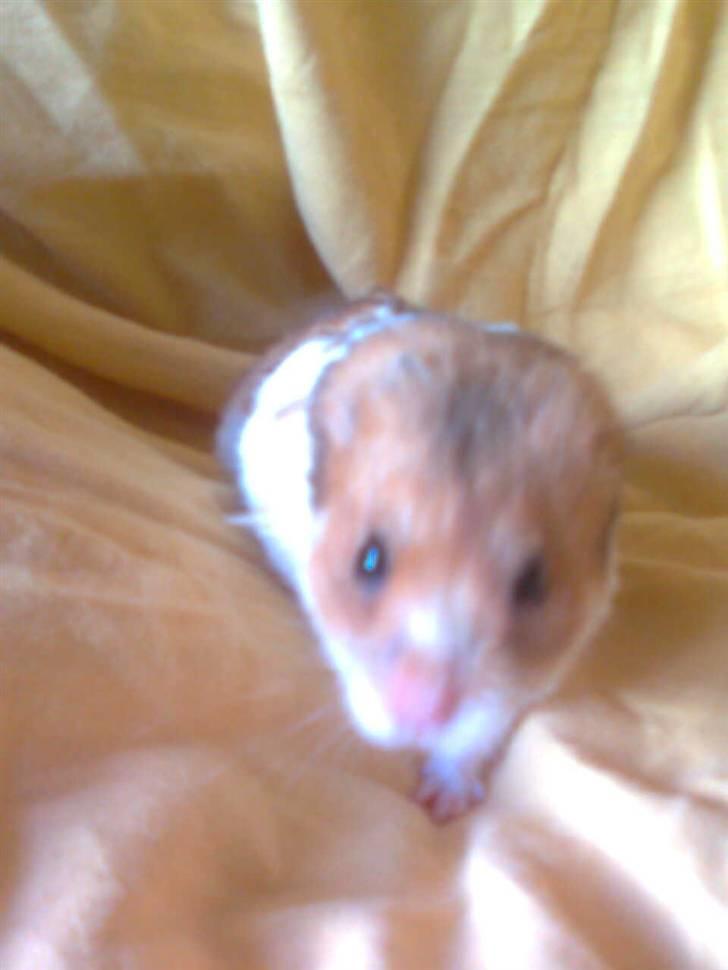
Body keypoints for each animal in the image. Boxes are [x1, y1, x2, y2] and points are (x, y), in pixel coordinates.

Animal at [218, 291, 624, 823]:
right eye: (367, 560)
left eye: (536, 584)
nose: (422, 714)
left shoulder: (517, 685)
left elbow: (476, 732)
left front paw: (441, 804)